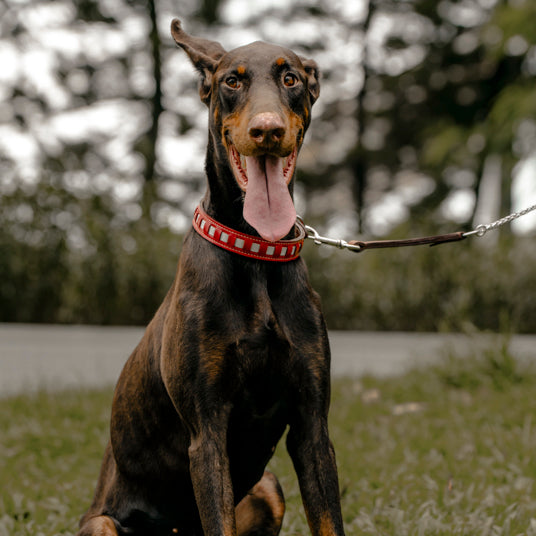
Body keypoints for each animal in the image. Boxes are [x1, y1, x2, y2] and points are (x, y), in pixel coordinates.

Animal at [77, 17, 346, 536]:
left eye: (290, 79)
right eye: (232, 82)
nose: (267, 130)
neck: (257, 250)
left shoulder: (312, 424)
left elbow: (328, 519)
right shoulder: (207, 429)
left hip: (268, 488)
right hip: (101, 523)